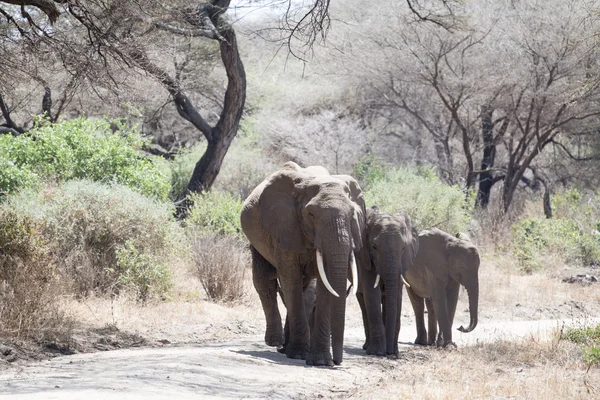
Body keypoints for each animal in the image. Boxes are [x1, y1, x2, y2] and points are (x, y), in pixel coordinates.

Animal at [240, 162, 366, 366]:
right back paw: (276, 342)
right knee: (265, 282)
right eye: (311, 214)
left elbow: (325, 284)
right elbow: (290, 278)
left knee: (301, 286)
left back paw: (285, 347)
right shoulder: (285, 225)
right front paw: (299, 355)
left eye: (352, 214)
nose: (338, 362)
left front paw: (320, 361)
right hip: (257, 239)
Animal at [354, 206, 420, 356]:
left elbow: (397, 295)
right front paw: (377, 352)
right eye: (374, 247)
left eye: (403, 248)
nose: (390, 353)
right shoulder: (365, 258)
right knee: (363, 302)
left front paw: (393, 352)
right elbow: (371, 293)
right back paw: (367, 347)